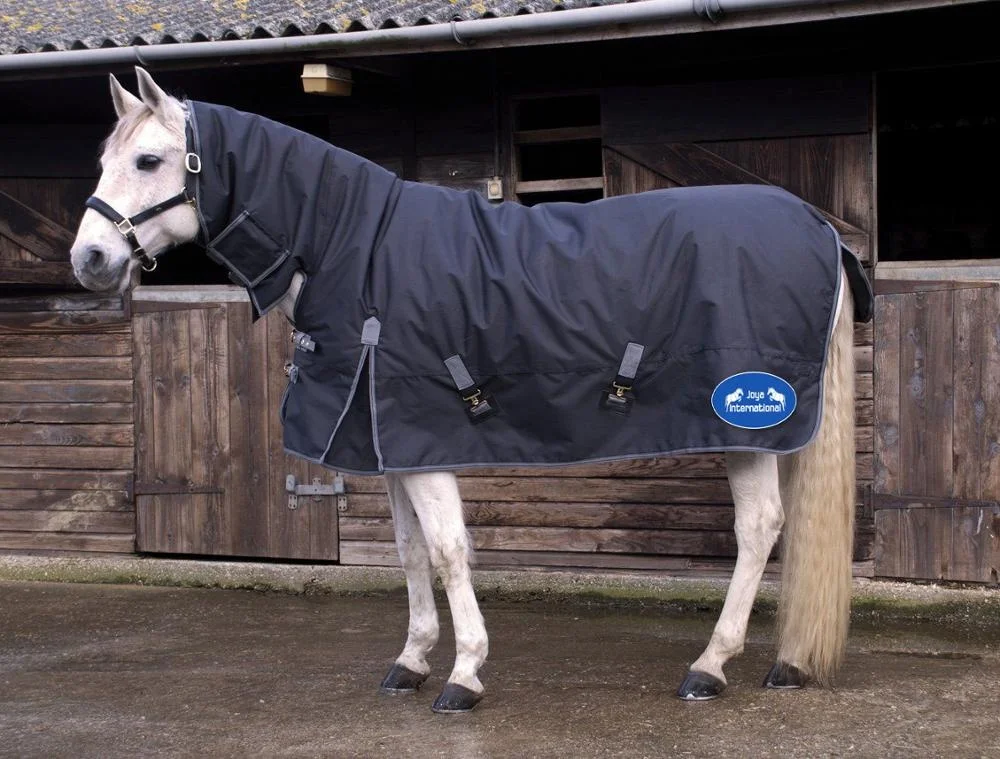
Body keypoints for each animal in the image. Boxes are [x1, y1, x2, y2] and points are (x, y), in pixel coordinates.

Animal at [70, 67, 862, 713]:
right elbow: (409, 550)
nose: (89, 259)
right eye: (103, 160)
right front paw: (412, 661)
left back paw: (709, 667)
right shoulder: (388, 442)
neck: (357, 248)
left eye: (148, 160)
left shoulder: (424, 439)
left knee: (759, 528)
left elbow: (450, 549)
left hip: (746, 425)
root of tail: (820, 227)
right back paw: (786, 663)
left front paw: (464, 674)